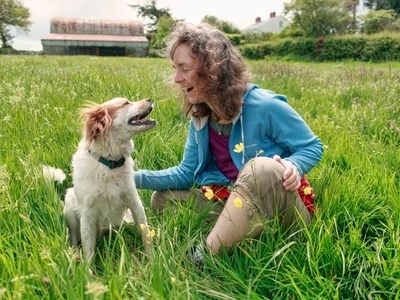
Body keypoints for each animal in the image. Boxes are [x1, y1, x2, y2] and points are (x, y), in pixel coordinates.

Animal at [63, 98, 155, 262]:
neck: (110, 164)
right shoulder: (87, 214)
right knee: (73, 237)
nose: (149, 99)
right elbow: (88, 250)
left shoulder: (134, 202)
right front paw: (88, 269)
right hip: (69, 203)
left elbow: (146, 234)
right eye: (126, 103)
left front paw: (154, 262)